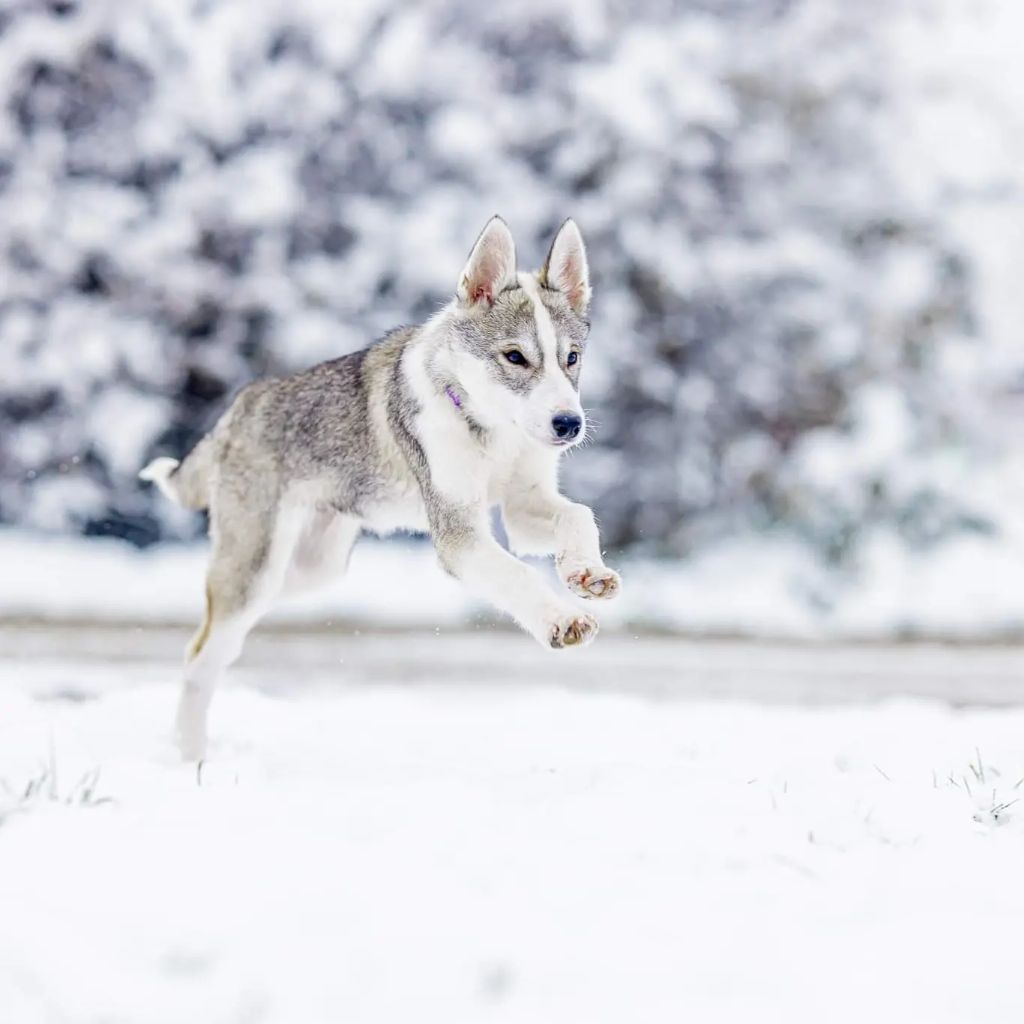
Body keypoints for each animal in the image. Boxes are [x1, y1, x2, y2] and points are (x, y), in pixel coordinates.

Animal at [142, 218, 622, 761]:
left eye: (572, 358)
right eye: (515, 357)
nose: (569, 424)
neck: (492, 431)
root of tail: (239, 408)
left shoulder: (522, 507)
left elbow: (578, 516)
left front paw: (586, 573)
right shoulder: (458, 533)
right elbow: (518, 576)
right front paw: (562, 619)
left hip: (309, 570)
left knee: (213, 637)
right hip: (256, 566)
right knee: (200, 654)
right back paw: (189, 755)